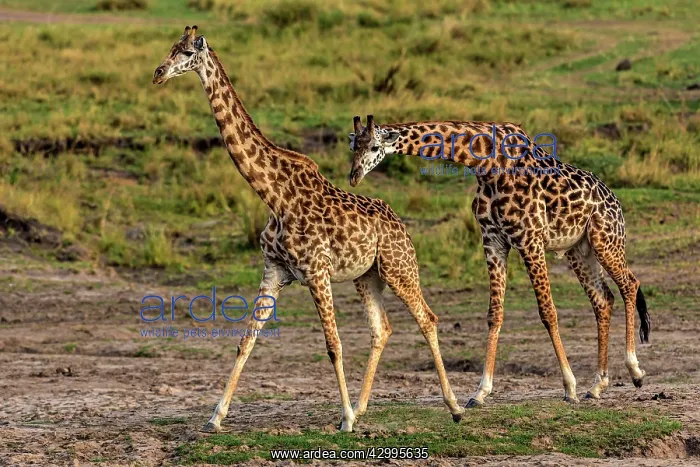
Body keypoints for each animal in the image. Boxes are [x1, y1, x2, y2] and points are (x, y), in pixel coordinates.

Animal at [152, 27, 464, 432]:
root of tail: (401, 225)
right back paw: (363, 407)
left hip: (399, 268)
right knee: (382, 328)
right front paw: (215, 417)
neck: (274, 195)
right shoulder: (273, 272)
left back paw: (454, 407)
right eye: (170, 48)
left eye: (187, 52)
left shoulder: (317, 272)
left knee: (428, 318)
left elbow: (333, 345)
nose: (158, 73)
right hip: (368, 276)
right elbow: (245, 341)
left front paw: (345, 420)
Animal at [348, 115, 651, 406]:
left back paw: (635, 371)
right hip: (579, 250)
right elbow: (495, 314)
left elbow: (548, 312)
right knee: (603, 299)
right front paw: (481, 392)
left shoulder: (530, 240)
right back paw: (598, 385)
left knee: (629, 284)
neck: (485, 162)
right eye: (353, 147)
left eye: (374, 147)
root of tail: (614, 199)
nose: (354, 176)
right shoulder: (493, 241)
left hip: (606, 240)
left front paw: (569, 387)